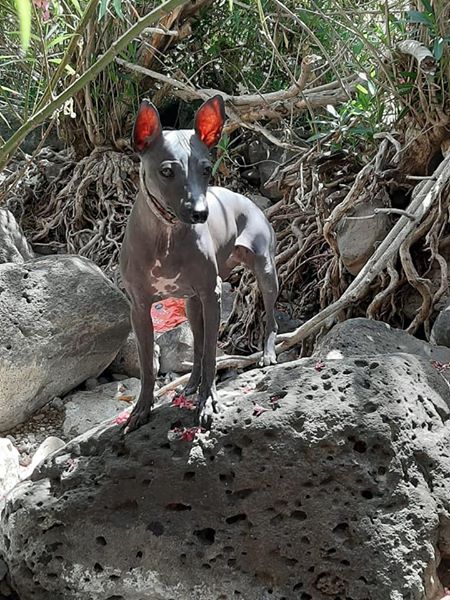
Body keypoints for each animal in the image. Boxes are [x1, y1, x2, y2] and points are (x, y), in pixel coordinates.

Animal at [121, 95, 280, 432]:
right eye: (167, 171)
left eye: (206, 169)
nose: (201, 213)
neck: (167, 235)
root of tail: (247, 200)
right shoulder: (139, 309)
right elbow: (148, 366)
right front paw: (141, 409)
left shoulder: (212, 294)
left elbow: (210, 356)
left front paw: (208, 401)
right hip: (192, 303)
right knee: (195, 345)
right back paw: (191, 384)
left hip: (264, 272)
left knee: (270, 317)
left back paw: (268, 353)